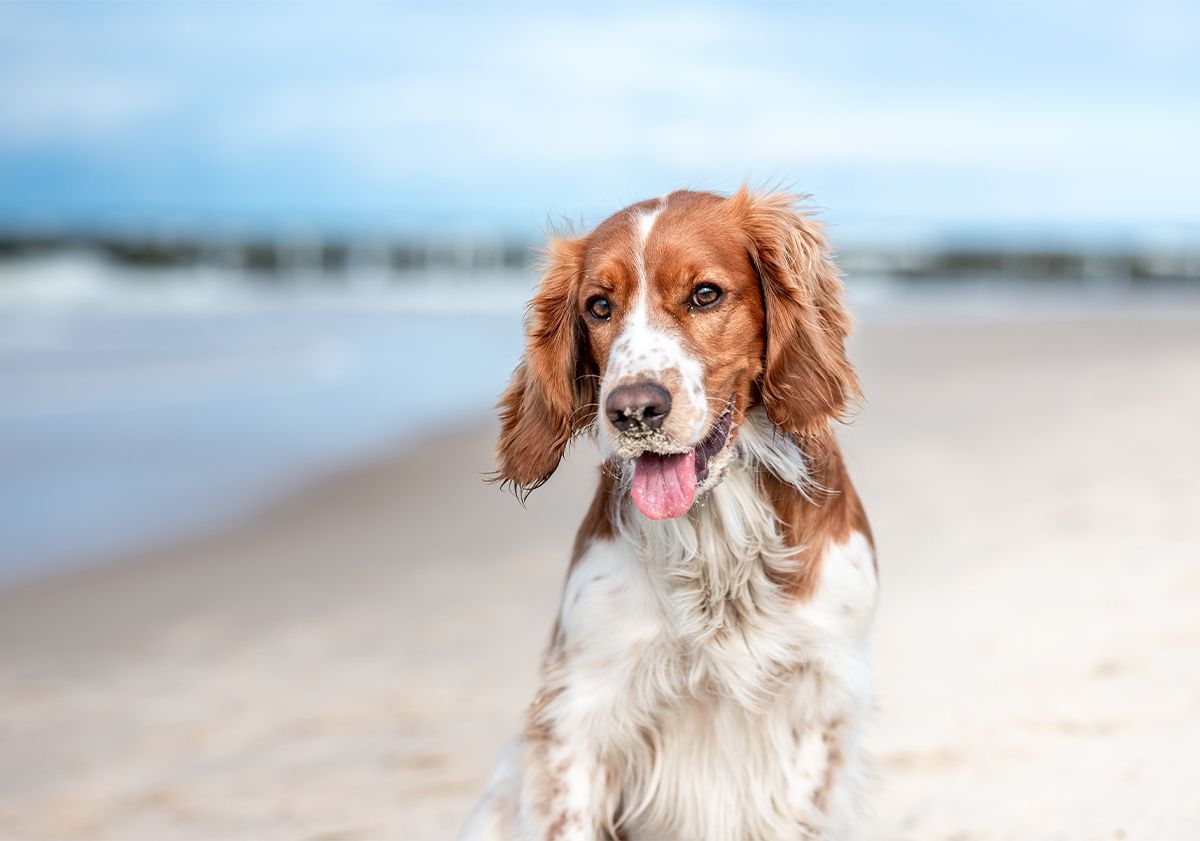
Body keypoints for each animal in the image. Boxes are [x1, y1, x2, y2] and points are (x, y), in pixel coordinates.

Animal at [463, 190, 878, 839]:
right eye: (599, 306)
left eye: (705, 294)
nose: (633, 409)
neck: (717, 540)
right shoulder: (580, 709)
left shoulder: (821, 698)